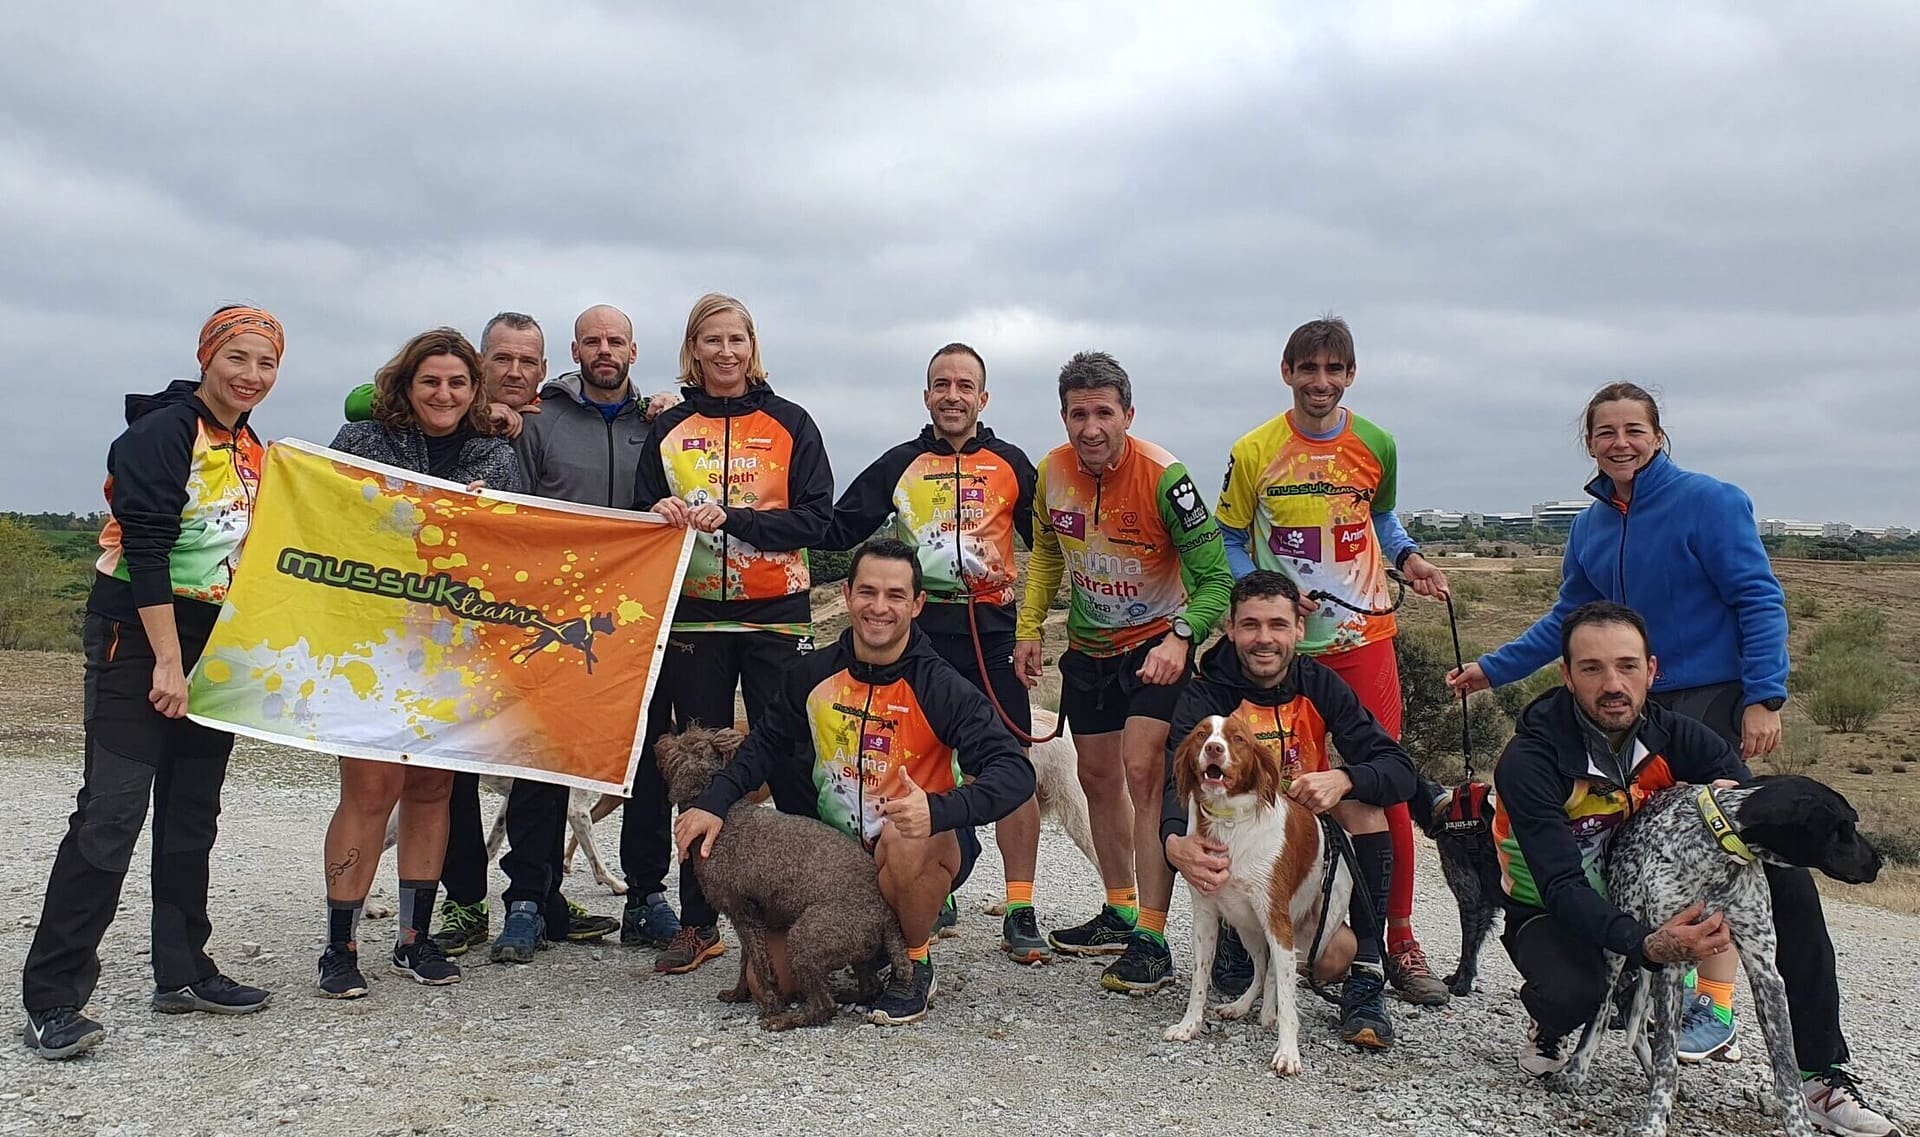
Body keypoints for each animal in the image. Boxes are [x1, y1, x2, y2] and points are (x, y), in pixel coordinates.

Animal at [1152, 710, 1351, 1075]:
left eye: (1238, 739)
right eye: (1202, 735)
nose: (1214, 749)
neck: (1230, 822)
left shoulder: (1277, 919)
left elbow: (1288, 998)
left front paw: (1287, 1052)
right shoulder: (1206, 917)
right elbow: (1200, 981)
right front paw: (1189, 1026)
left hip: (1312, 934)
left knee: (1281, 973)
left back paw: (1269, 1014)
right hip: (1249, 928)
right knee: (1262, 970)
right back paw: (1243, 1005)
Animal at [1551, 772, 1881, 1137]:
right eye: (1846, 825)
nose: (1879, 862)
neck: (1718, 851)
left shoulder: (1765, 972)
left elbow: (1787, 1074)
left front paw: (1799, 1127)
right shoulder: (1671, 959)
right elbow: (1667, 1058)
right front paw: (1653, 1121)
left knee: (1632, 1013)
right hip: (1624, 945)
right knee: (1607, 1006)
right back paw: (1577, 1069)